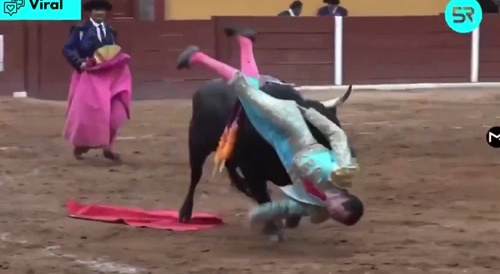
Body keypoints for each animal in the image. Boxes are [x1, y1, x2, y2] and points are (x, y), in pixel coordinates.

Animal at [178, 78, 354, 224]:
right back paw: (185, 213)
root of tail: (202, 90)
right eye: (318, 130)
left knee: (230, 169)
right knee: (196, 176)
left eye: (337, 124)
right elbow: (264, 198)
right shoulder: (253, 172)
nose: (346, 163)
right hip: (197, 146)